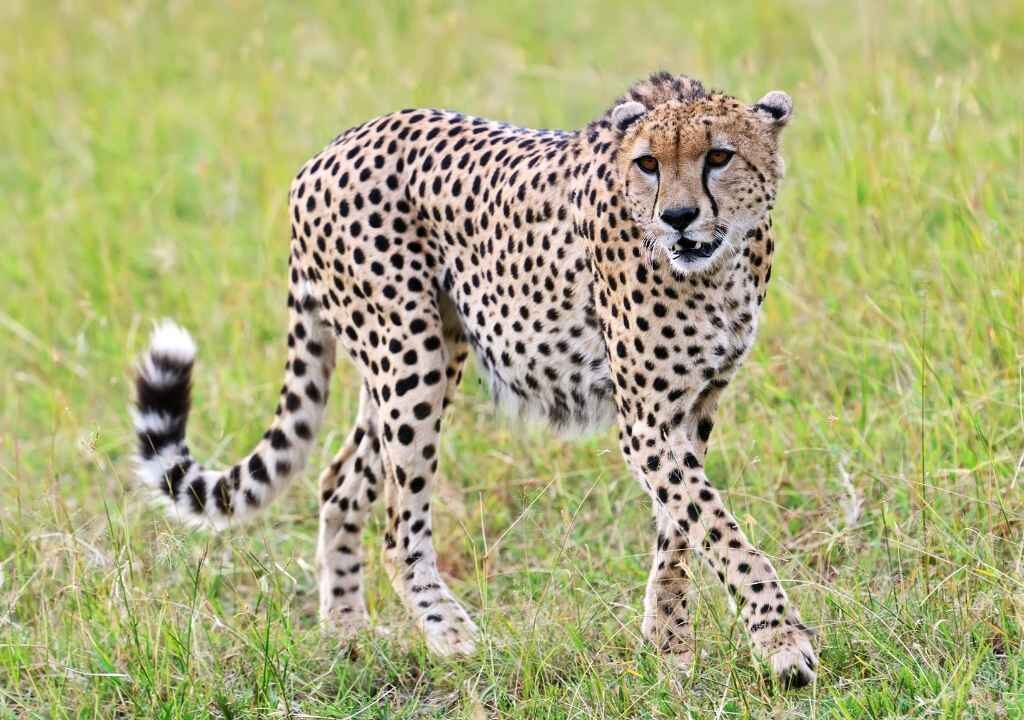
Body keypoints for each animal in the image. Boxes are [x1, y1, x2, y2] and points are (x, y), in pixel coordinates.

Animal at [131, 72, 818, 687]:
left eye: (719, 156)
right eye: (648, 163)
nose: (677, 217)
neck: (717, 267)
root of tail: (326, 154)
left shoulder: (693, 405)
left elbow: (680, 528)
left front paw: (669, 641)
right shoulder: (645, 420)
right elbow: (716, 527)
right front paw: (781, 643)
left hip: (408, 360)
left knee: (339, 482)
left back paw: (346, 631)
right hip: (411, 357)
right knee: (397, 527)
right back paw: (452, 637)